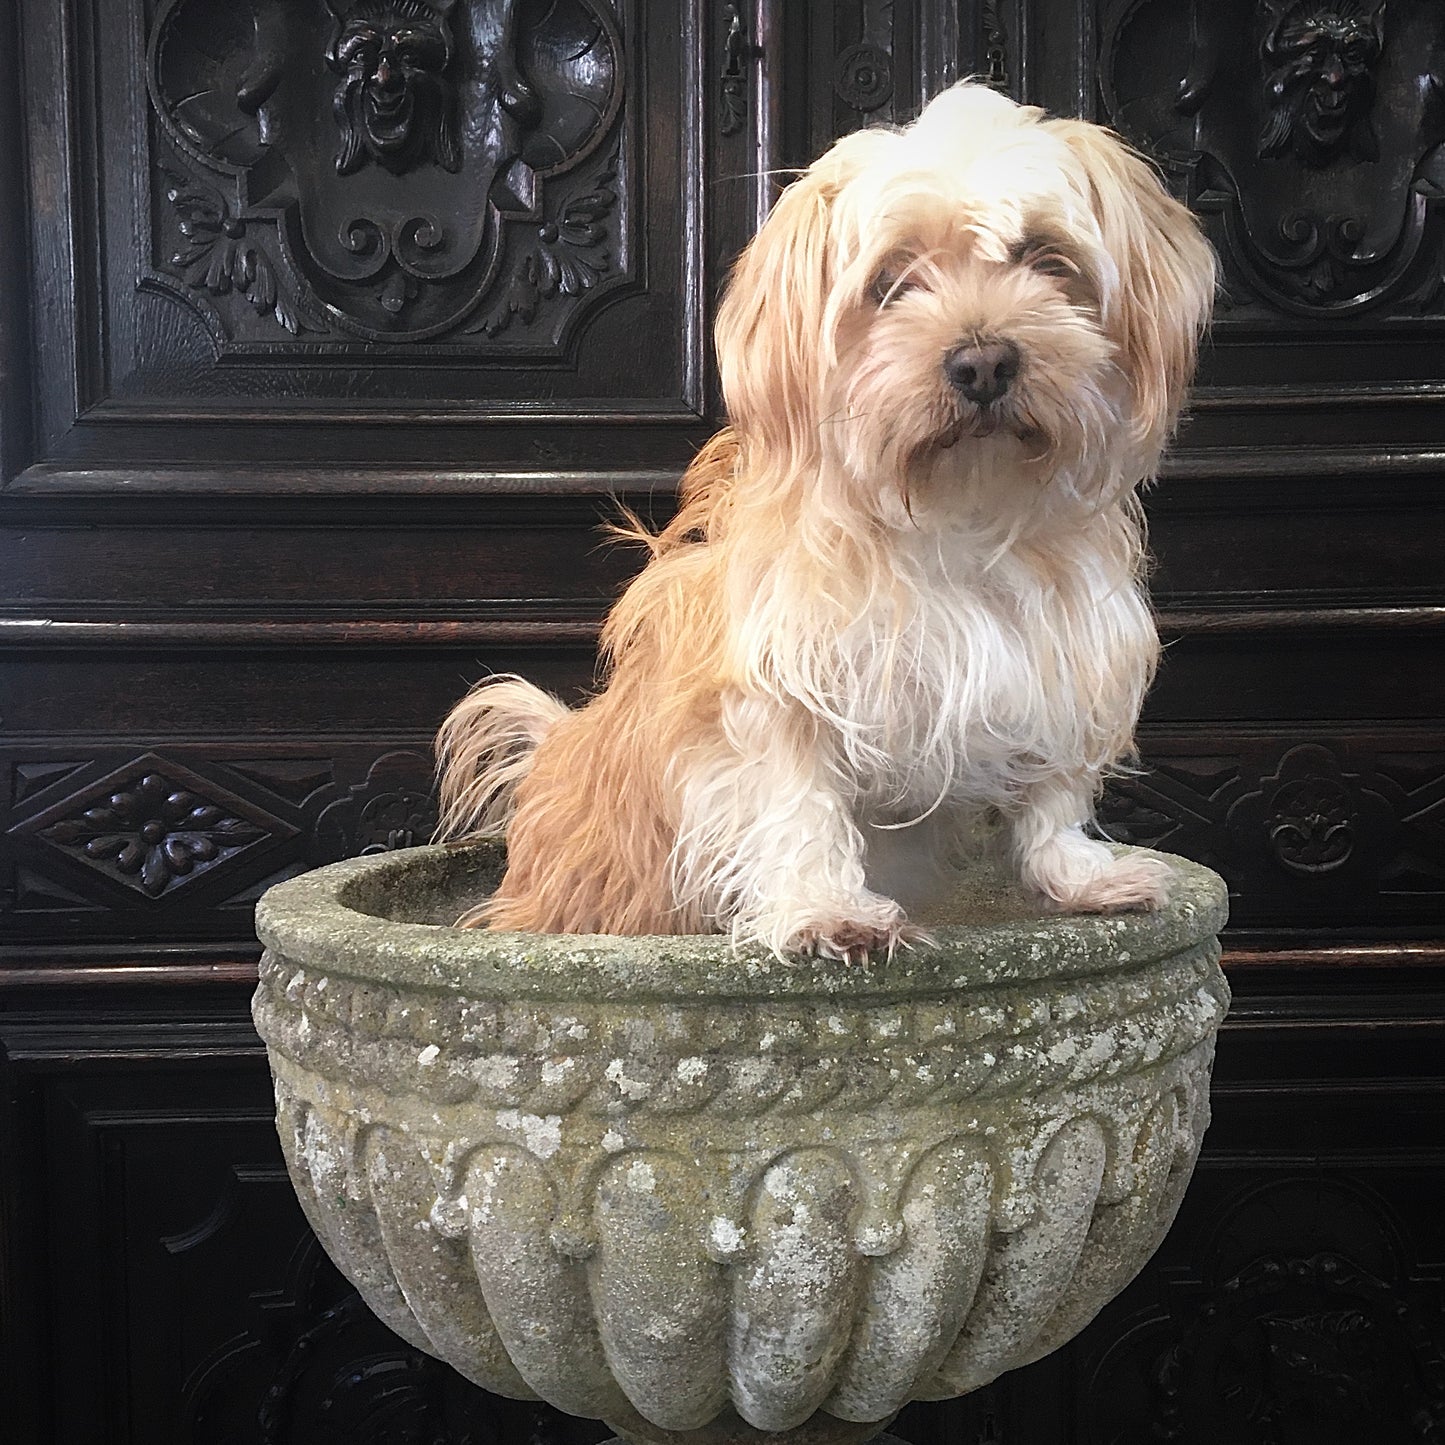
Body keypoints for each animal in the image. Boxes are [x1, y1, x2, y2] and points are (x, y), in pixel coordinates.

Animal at [433, 79, 1213, 959]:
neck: (955, 518)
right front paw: (823, 906)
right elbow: (796, 797)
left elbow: (1053, 791)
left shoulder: (1064, 655)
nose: (983, 362)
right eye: (890, 281)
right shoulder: (776, 682)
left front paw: (1077, 875)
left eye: (1043, 257)